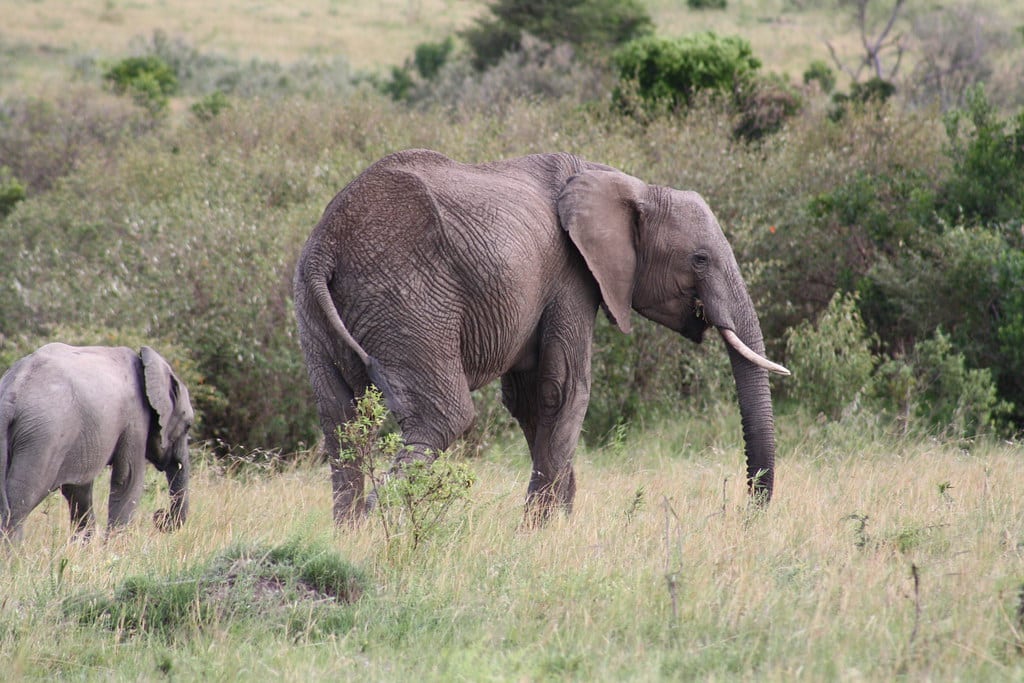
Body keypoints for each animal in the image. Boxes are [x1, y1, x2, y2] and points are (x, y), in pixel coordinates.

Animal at [0, 343, 193, 542]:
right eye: (188, 426)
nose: (160, 515)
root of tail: (11, 395)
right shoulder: (135, 419)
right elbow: (128, 479)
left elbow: (78, 489)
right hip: (44, 437)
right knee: (21, 501)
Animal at [293, 148, 789, 524]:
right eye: (700, 259)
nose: (747, 515)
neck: (627, 184)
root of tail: (326, 246)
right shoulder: (572, 275)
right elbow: (563, 390)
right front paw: (538, 533)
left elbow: (530, 402)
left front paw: (554, 526)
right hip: (408, 299)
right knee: (442, 418)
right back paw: (376, 533)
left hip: (313, 309)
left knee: (340, 420)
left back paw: (348, 536)